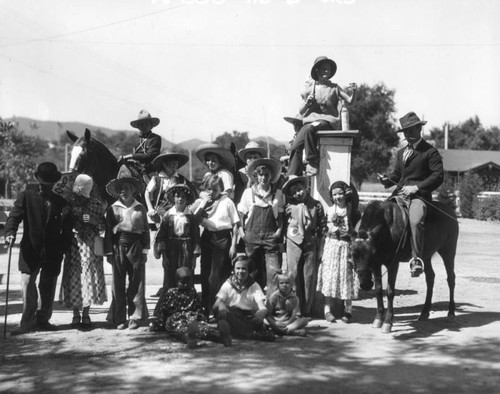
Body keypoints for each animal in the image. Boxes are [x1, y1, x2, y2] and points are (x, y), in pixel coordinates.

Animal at [350, 200, 458, 332]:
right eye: (352, 254)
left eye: (372, 253)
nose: (365, 284)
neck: (387, 229)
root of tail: (450, 211)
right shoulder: (377, 265)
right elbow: (378, 290)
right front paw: (378, 319)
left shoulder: (392, 264)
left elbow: (390, 291)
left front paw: (388, 322)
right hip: (426, 257)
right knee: (430, 278)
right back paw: (424, 312)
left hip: (448, 251)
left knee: (451, 278)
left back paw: (451, 312)